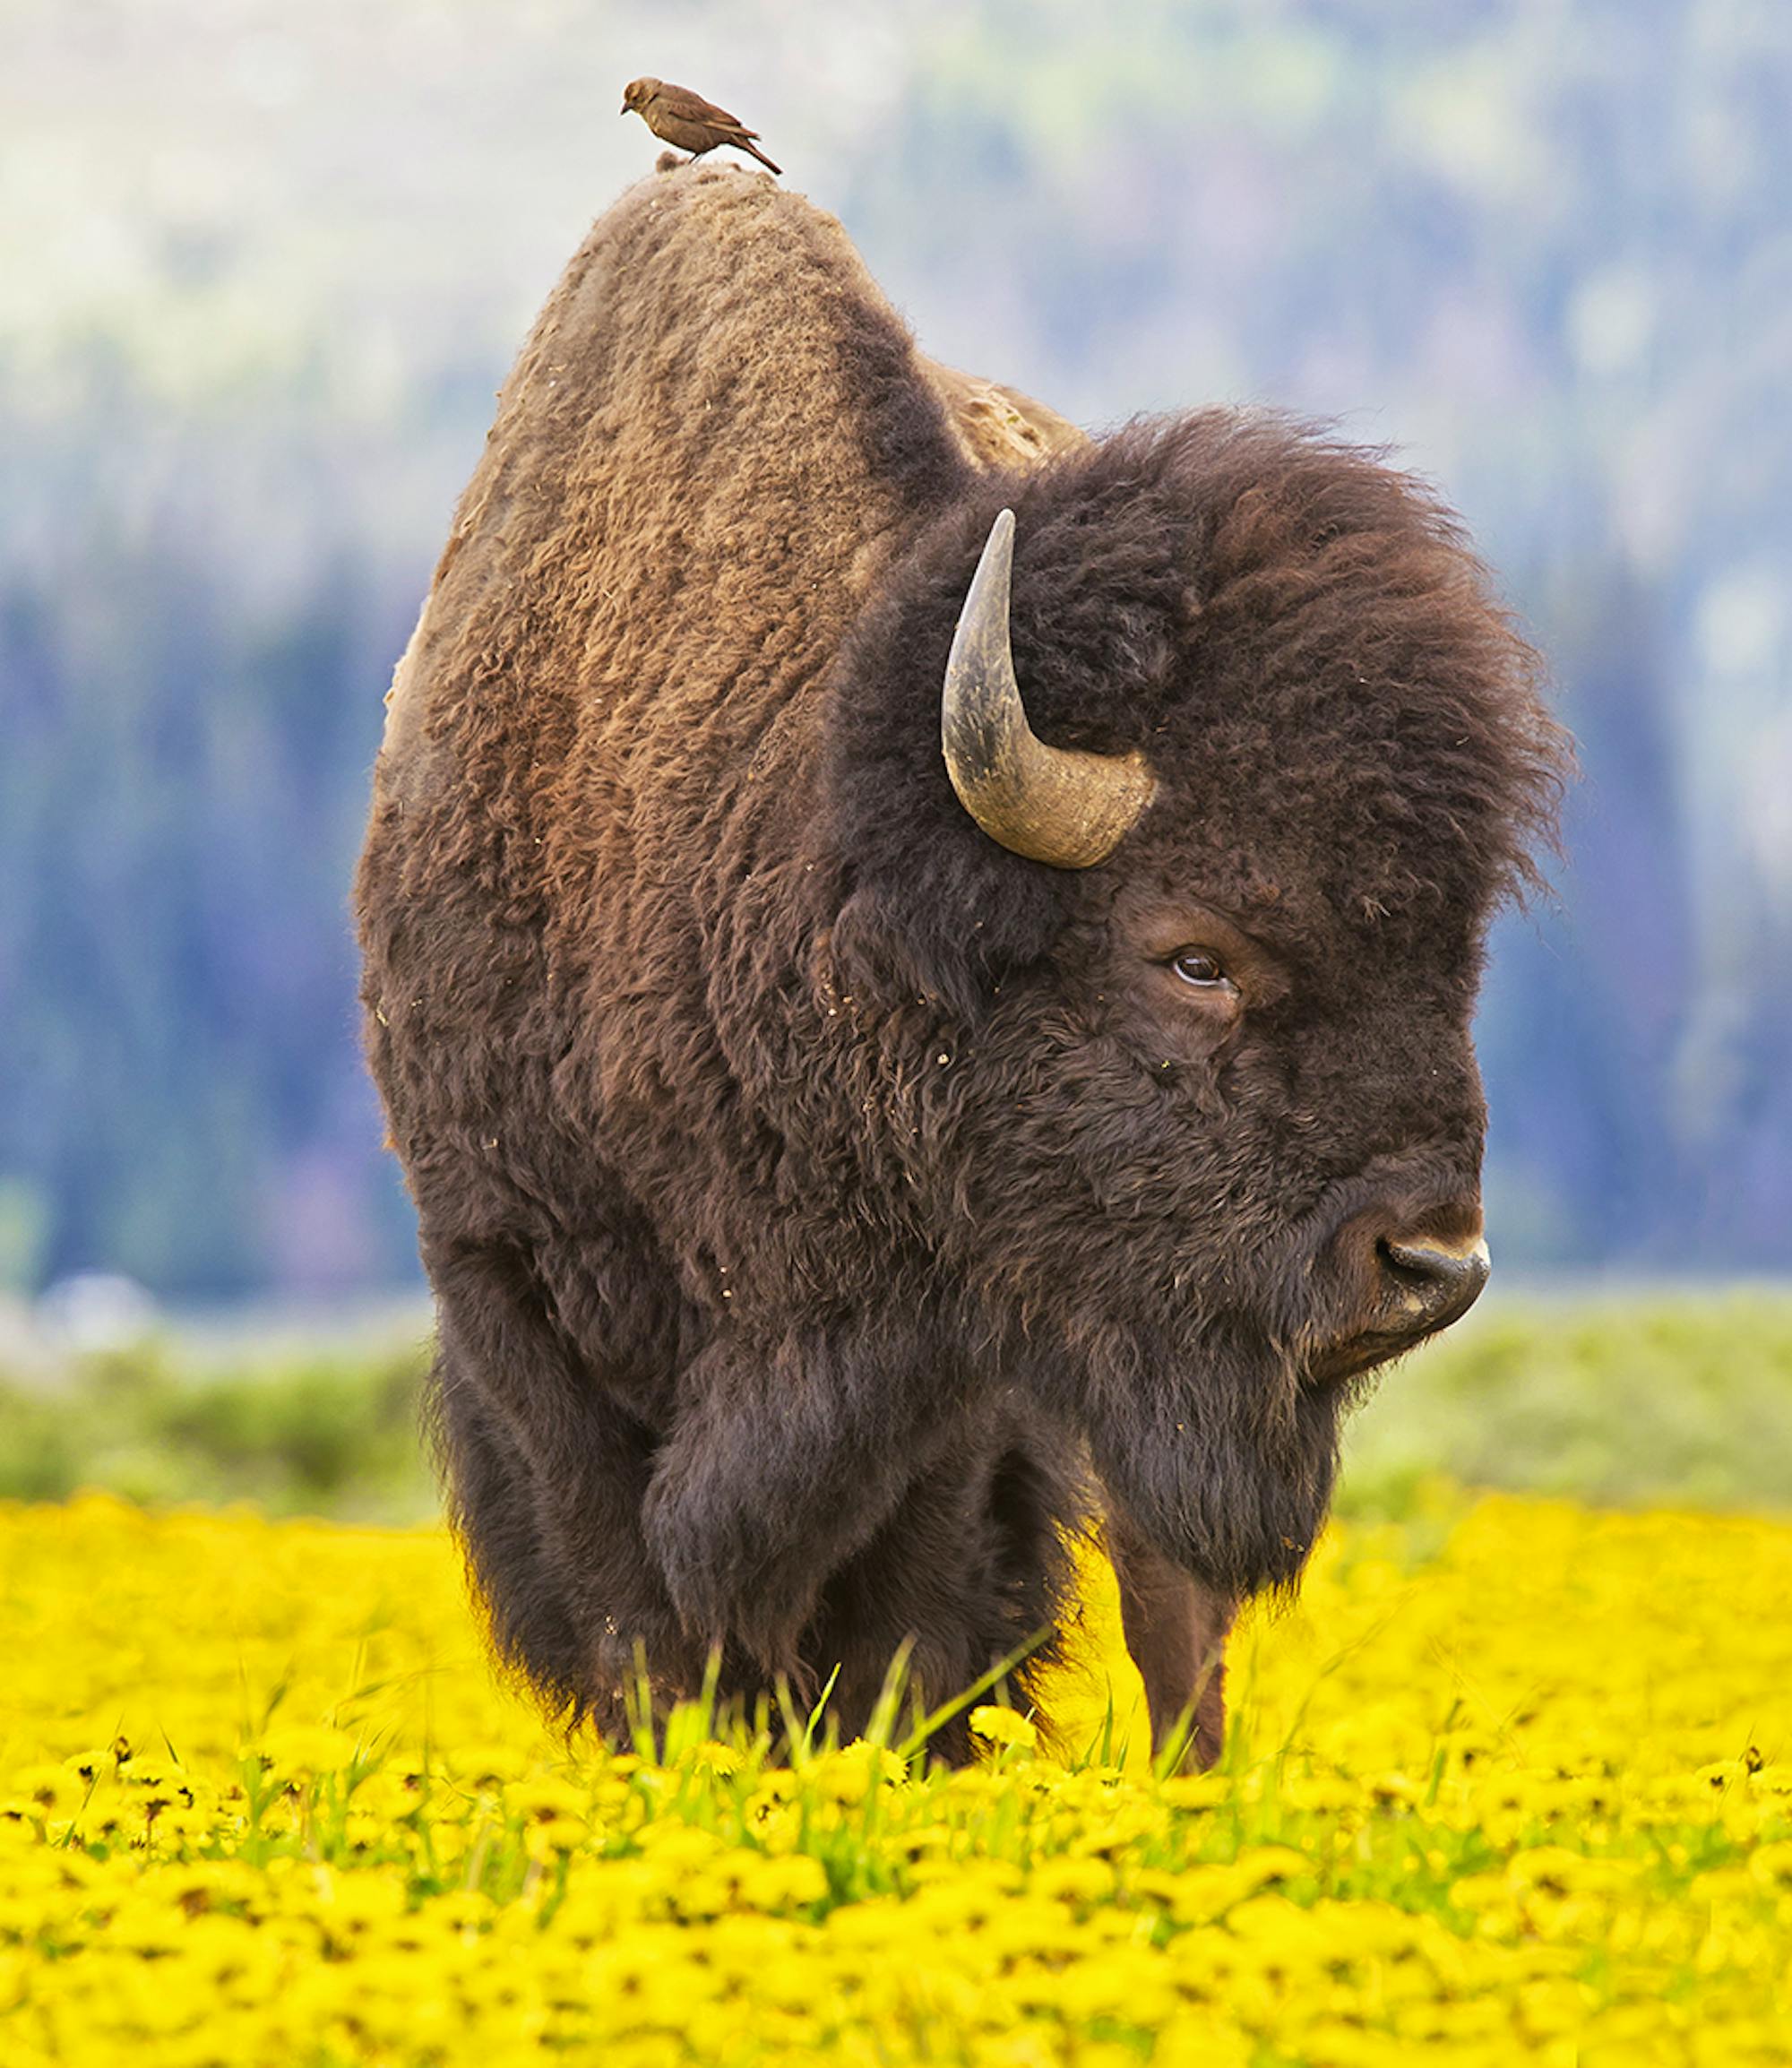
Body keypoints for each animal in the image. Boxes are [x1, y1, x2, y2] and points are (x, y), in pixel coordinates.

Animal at [358, 169, 1562, 1770]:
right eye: (1195, 956)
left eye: (1452, 947)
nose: (1432, 1264)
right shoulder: (515, 1301)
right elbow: (638, 1627)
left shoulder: (965, 1380)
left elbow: (907, 1638)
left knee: (1178, 1630)